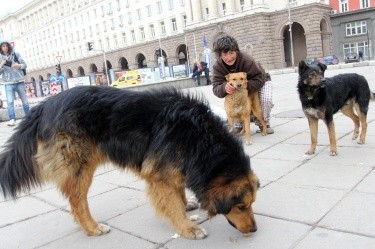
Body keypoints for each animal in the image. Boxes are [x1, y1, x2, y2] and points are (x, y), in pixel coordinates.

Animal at [0, 86, 260, 239]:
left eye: (251, 204)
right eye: (241, 206)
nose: (255, 229)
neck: (200, 138)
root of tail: (43, 105)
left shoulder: (174, 168)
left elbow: (178, 192)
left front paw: (186, 207)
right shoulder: (159, 176)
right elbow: (172, 203)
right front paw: (188, 227)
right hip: (81, 167)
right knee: (77, 201)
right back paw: (92, 228)